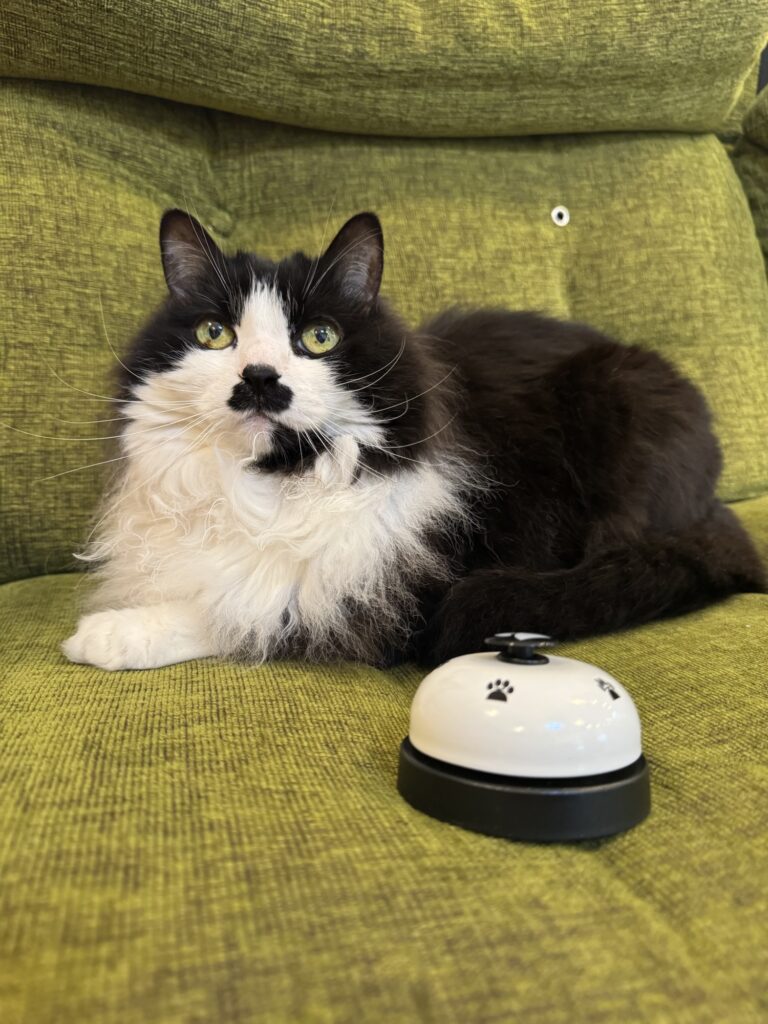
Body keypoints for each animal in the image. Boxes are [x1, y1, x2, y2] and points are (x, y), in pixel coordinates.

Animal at [62, 210, 766, 671]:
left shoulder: (395, 592)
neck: (264, 485)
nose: (259, 379)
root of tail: (714, 502)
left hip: (617, 410)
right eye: (214, 334)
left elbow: (249, 609)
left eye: (319, 338)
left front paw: (102, 636)